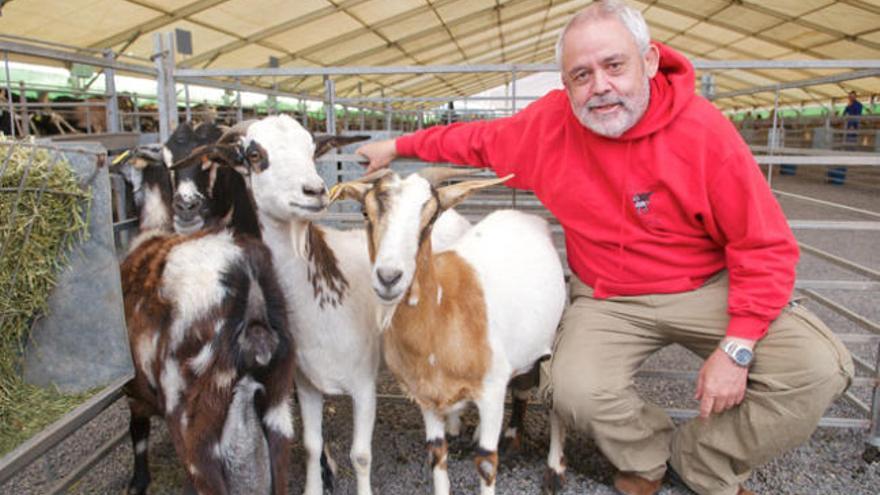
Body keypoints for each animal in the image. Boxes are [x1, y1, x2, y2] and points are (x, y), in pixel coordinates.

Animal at [328, 169, 564, 494]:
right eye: (366, 212)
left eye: (430, 219)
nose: (389, 278)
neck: (443, 320)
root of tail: (526, 216)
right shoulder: (426, 396)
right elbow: (437, 454)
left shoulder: (491, 387)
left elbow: (487, 462)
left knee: (552, 399)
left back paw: (553, 470)